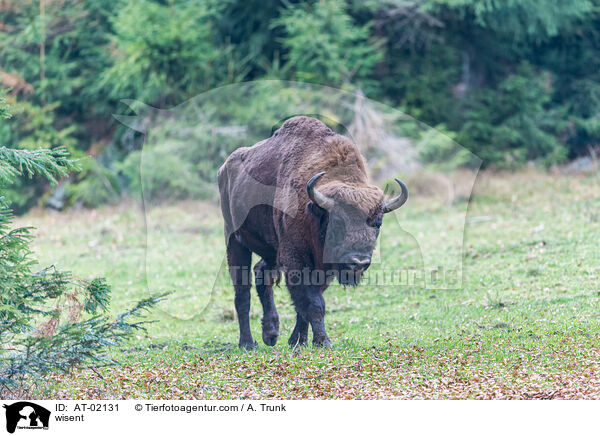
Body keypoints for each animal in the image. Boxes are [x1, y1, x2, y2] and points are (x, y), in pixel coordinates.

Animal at [217, 116, 408, 348]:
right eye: (338, 222)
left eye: (378, 222)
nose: (359, 263)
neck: (315, 211)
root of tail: (224, 169)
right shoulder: (296, 260)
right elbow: (312, 302)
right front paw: (322, 341)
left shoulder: (323, 268)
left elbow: (305, 305)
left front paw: (299, 341)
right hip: (235, 241)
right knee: (242, 292)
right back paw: (247, 343)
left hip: (271, 250)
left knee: (262, 274)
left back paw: (271, 334)